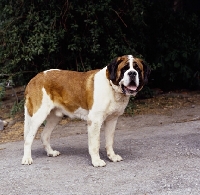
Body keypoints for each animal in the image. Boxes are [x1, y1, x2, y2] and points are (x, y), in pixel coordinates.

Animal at [21, 54, 150, 167]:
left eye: (137, 69)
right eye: (124, 69)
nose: (132, 73)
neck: (111, 87)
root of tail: (34, 79)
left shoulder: (112, 120)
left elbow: (110, 141)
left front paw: (112, 157)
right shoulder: (95, 121)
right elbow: (95, 144)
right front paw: (96, 161)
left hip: (55, 117)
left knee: (44, 135)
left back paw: (51, 152)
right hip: (38, 115)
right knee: (28, 138)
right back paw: (27, 158)